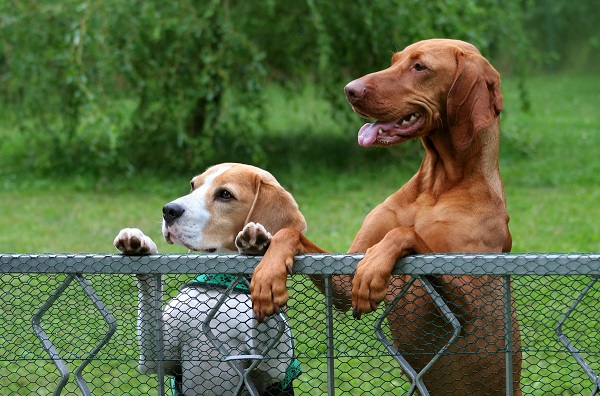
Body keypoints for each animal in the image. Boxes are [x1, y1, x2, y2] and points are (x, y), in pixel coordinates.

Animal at [248, 41, 520, 396]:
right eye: (394, 60)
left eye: (419, 67)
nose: (349, 90)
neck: (436, 188)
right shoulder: (340, 278)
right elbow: (291, 234)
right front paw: (268, 271)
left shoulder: (469, 305)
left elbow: (408, 234)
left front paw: (376, 266)